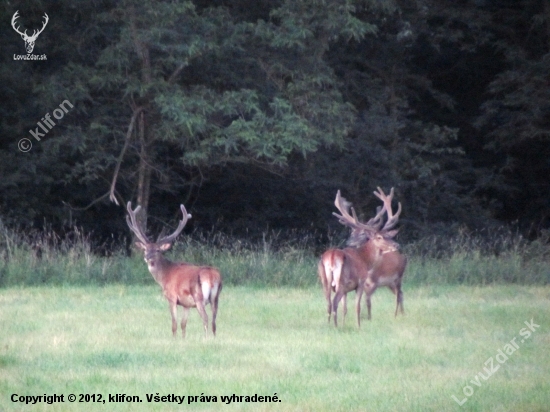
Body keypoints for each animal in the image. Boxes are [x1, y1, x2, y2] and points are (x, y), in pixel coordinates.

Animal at [127, 202, 222, 338]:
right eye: (145, 249)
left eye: (158, 250)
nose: (147, 257)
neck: (164, 277)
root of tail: (211, 276)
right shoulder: (186, 304)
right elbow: (183, 324)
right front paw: (183, 339)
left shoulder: (171, 297)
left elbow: (174, 324)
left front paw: (174, 339)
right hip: (216, 298)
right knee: (214, 321)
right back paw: (213, 338)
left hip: (199, 297)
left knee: (206, 318)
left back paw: (206, 338)